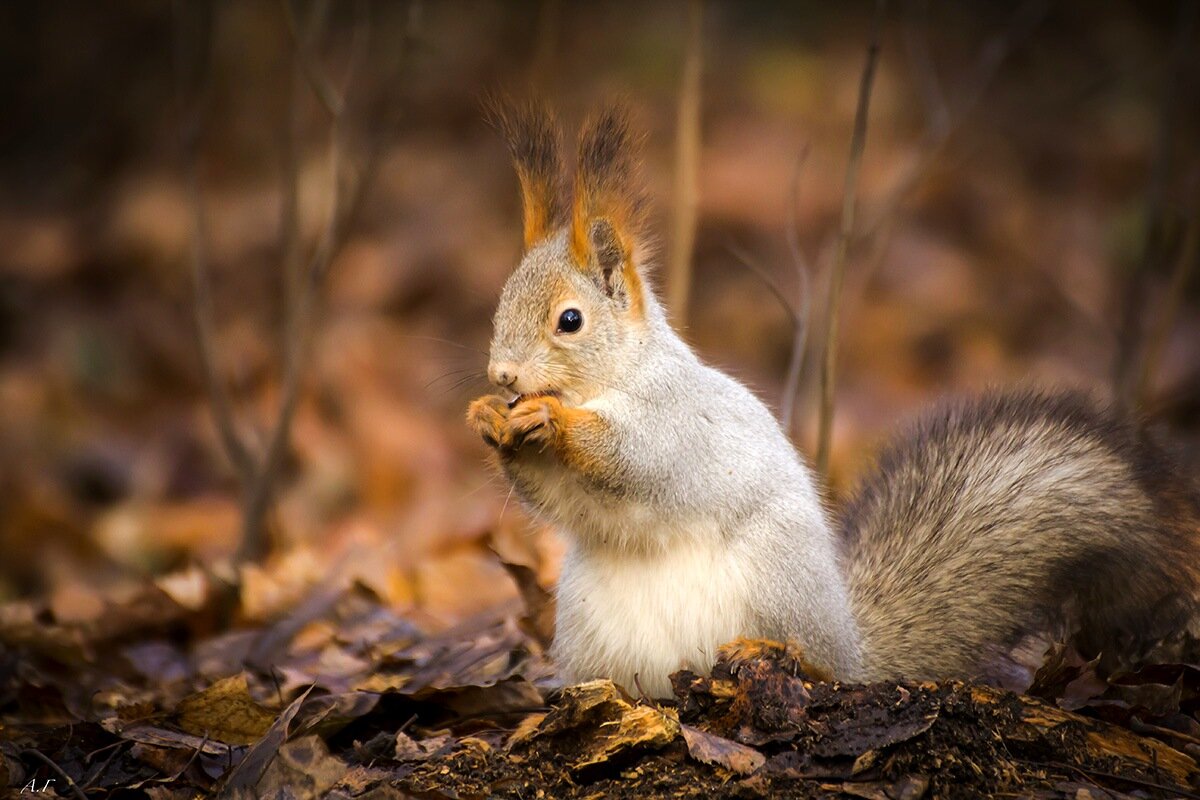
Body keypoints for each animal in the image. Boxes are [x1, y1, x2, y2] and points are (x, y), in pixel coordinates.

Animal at [465, 103, 1200, 695]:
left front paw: (552, 420)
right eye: (500, 303)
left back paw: (776, 652)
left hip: (775, 574)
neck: (614, 379)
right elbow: (556, 499)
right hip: (588, 619)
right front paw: (486, 419)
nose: (502, 376)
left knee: (816, 665)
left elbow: (636, 459)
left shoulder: (678, 423)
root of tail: (851, 644)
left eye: (570, 321)